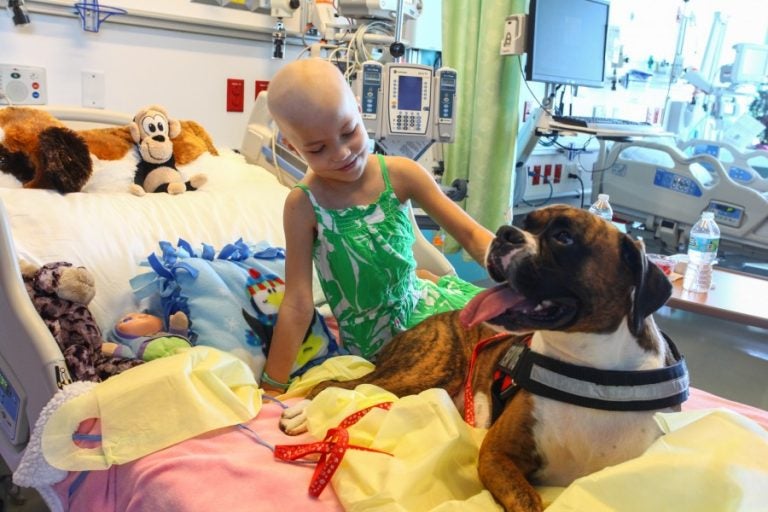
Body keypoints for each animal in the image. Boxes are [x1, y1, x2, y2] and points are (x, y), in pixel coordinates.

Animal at [280, 205, 688, 512]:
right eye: (525, 225)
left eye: (564, 237)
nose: (505, 232)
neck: (589, 375)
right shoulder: (497, 454)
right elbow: (529, 501)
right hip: (425, 371)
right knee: (339, 384)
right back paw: (304, 413)